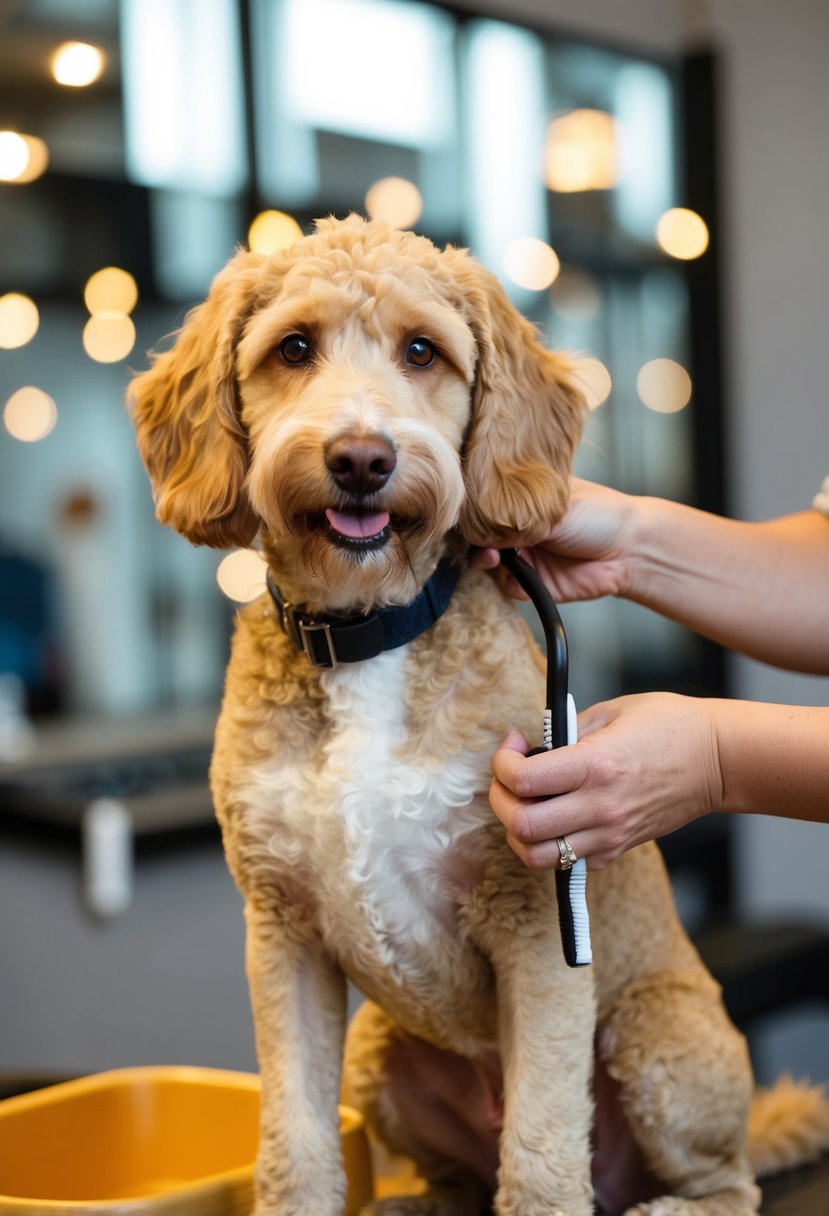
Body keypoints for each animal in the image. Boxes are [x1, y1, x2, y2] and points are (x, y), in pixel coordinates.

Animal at [127, 216, 826, 1216]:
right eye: (292, 349)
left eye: (422, 351)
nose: (361, 458)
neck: (369, 634)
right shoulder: (282, 935)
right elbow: (293, 1146)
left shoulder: (535, 924)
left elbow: (538, 1150)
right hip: (380, 1051)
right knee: (459, 1170)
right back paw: (419, 1197)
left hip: (658, 1035)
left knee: (724, 1180)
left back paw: (670, 1203)